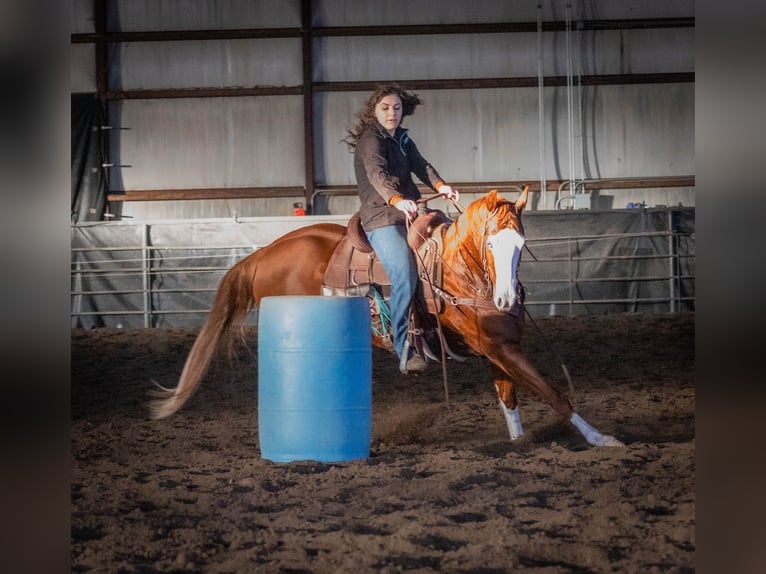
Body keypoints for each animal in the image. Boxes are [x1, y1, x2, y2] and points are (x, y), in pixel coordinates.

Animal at [150, 189, 623, 448]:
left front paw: (521, 441)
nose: (507, 299)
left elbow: (510, 401)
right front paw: (603, 439)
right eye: (490, 244)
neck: (462, 273)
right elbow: (553, 393)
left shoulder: (500, 350)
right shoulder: (499, 348)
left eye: (521, 243)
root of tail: (264, 253)